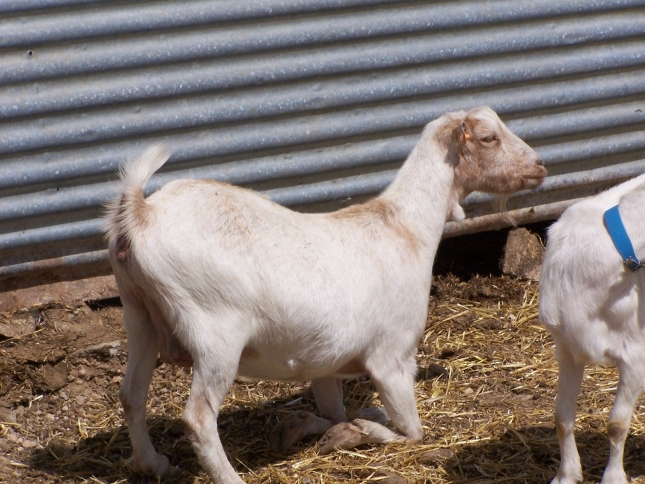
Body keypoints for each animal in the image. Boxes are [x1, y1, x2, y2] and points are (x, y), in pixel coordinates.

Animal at [104, 107, 544, 484]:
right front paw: (361, 430)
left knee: (131, 395)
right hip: (215, 330)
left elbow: (334, 411)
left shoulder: (325, 363)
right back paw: (229, 476)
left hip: (138, 314)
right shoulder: (392, 356)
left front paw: (316, 428)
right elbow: (412, 431)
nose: (539, 165)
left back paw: (153, 464)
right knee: (197, 416)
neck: (405, 229)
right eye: (488, 137)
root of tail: (140, 215)